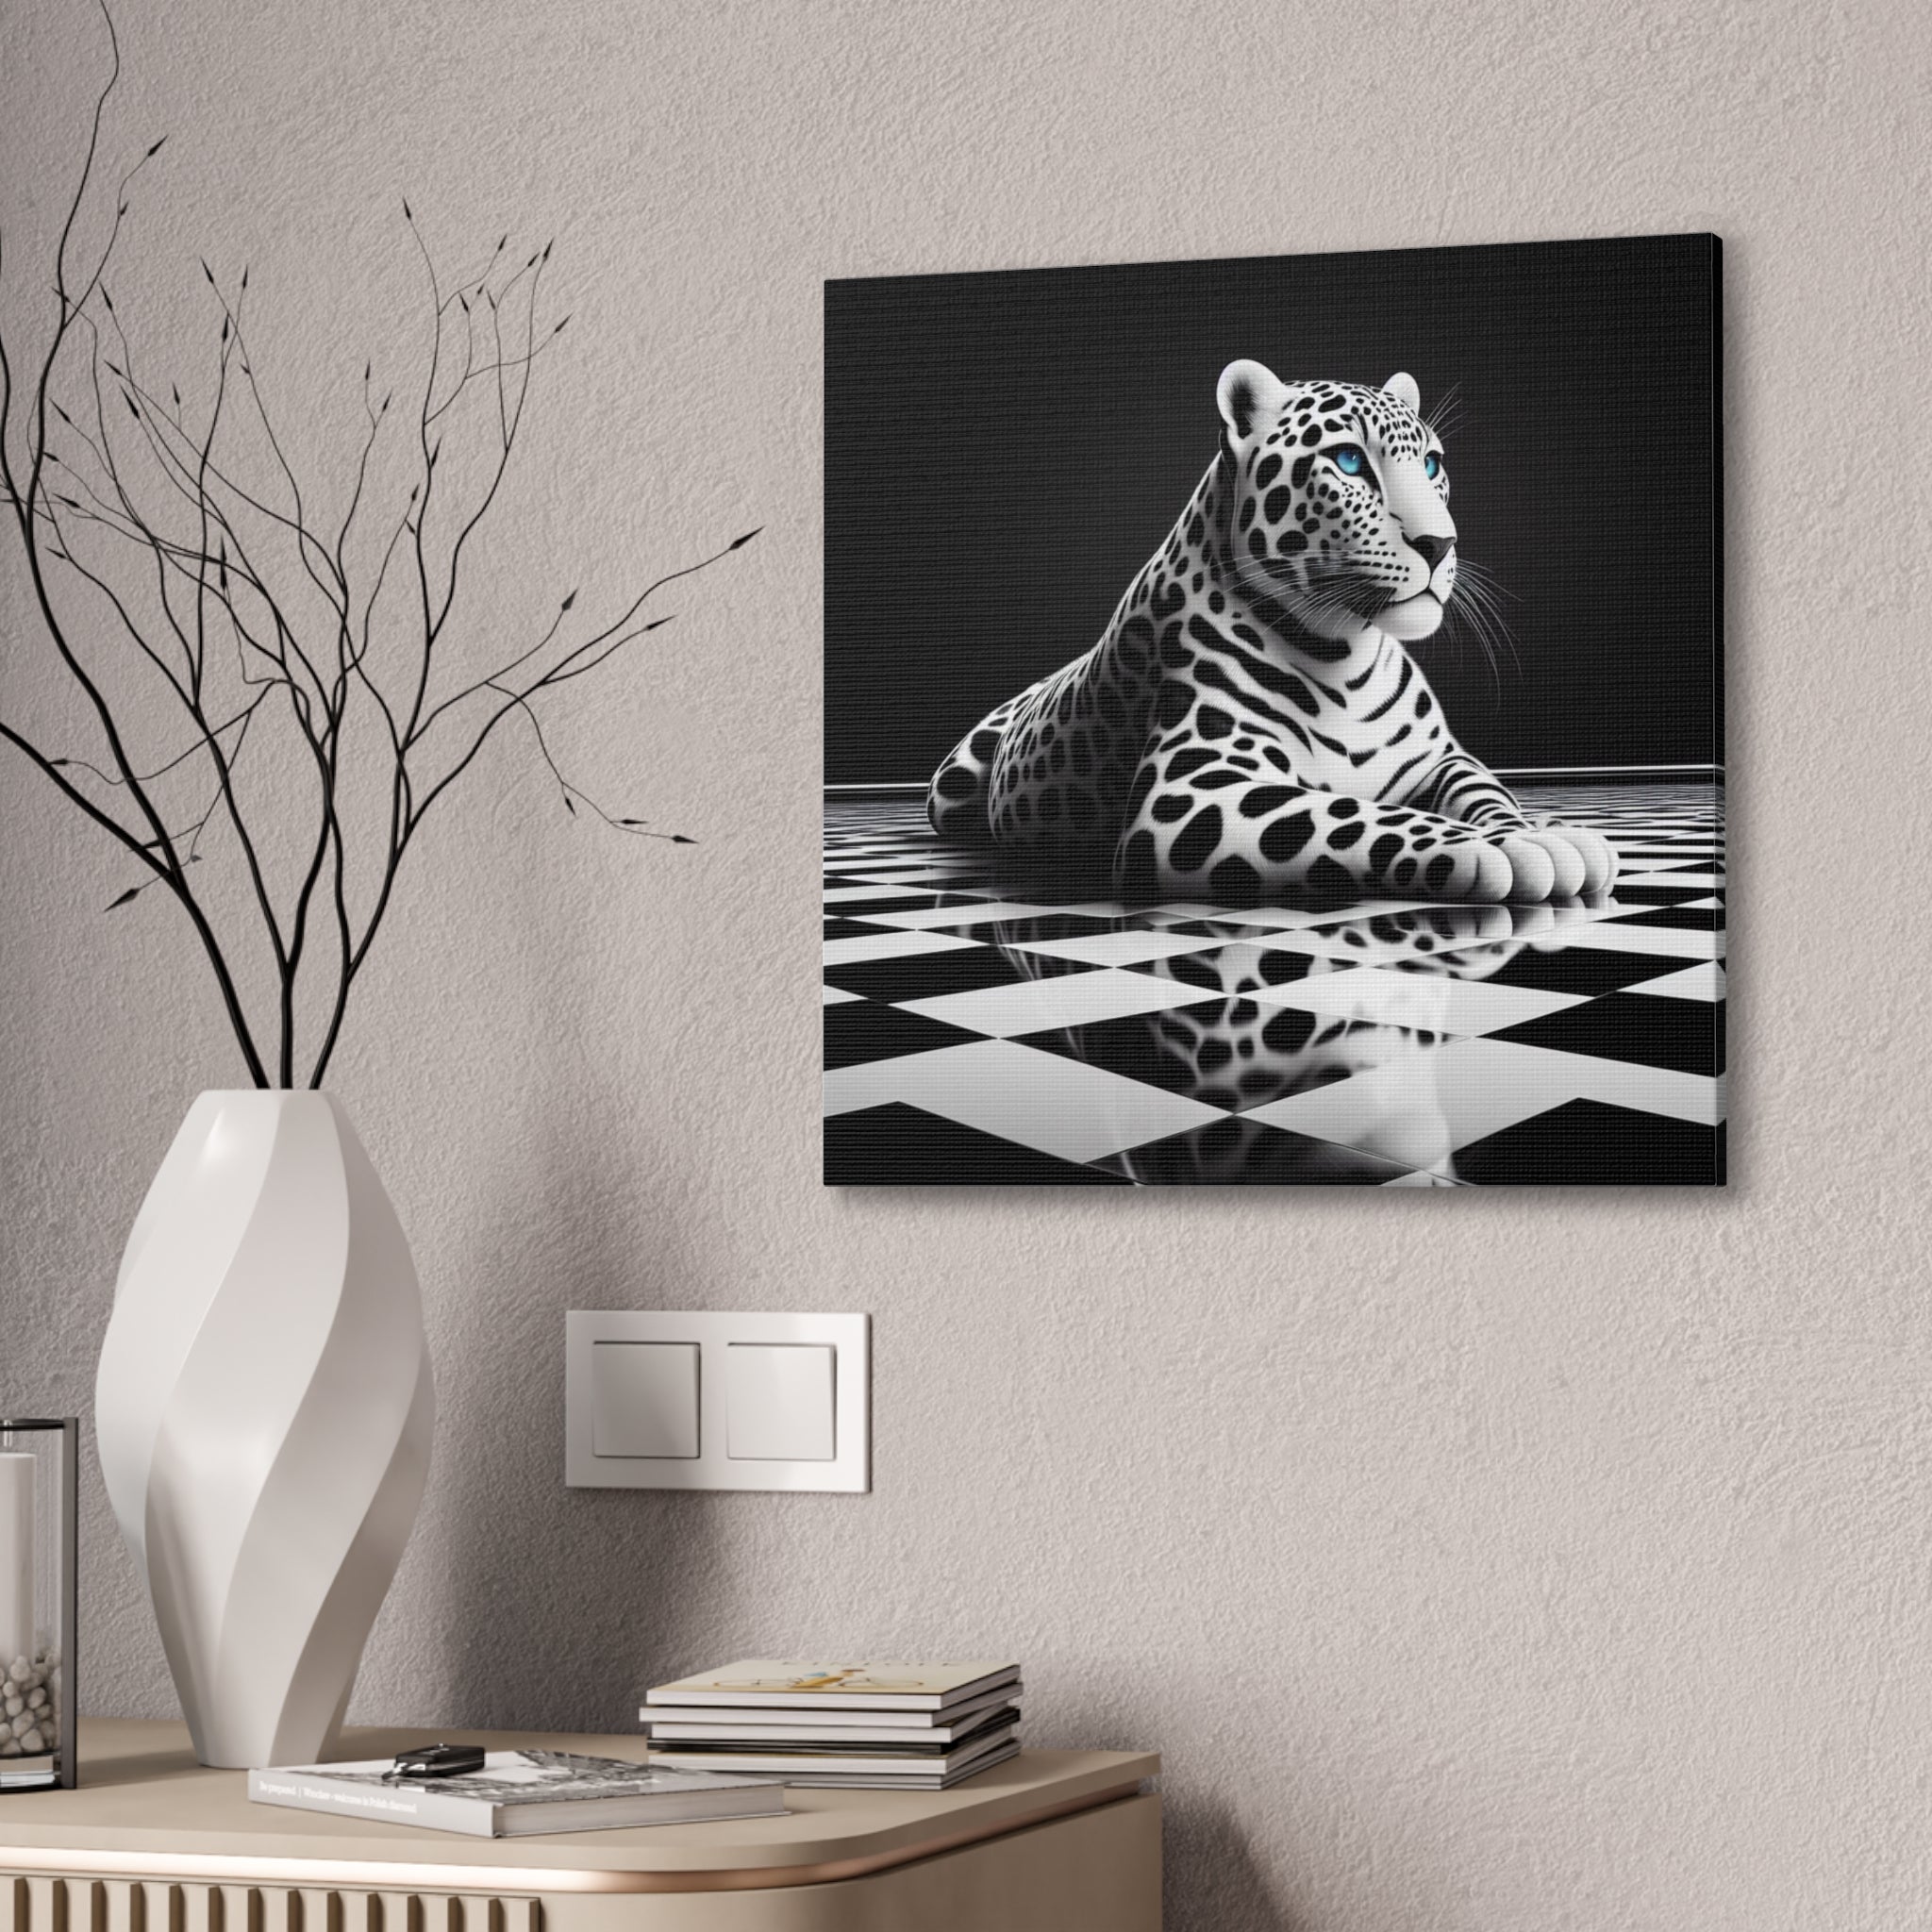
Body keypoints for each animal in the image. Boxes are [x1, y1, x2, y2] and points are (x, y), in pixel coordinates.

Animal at [927, 363, 1619, 908]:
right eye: (1349, 461)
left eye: (1431, 464)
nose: (1439, 544)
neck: (1348, 656)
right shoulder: (1193, 790)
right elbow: (1357, 813)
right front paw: (1505, 848)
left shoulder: (1440, 760)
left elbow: (1487, 793)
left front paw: (1533, 829)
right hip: (950, 788)